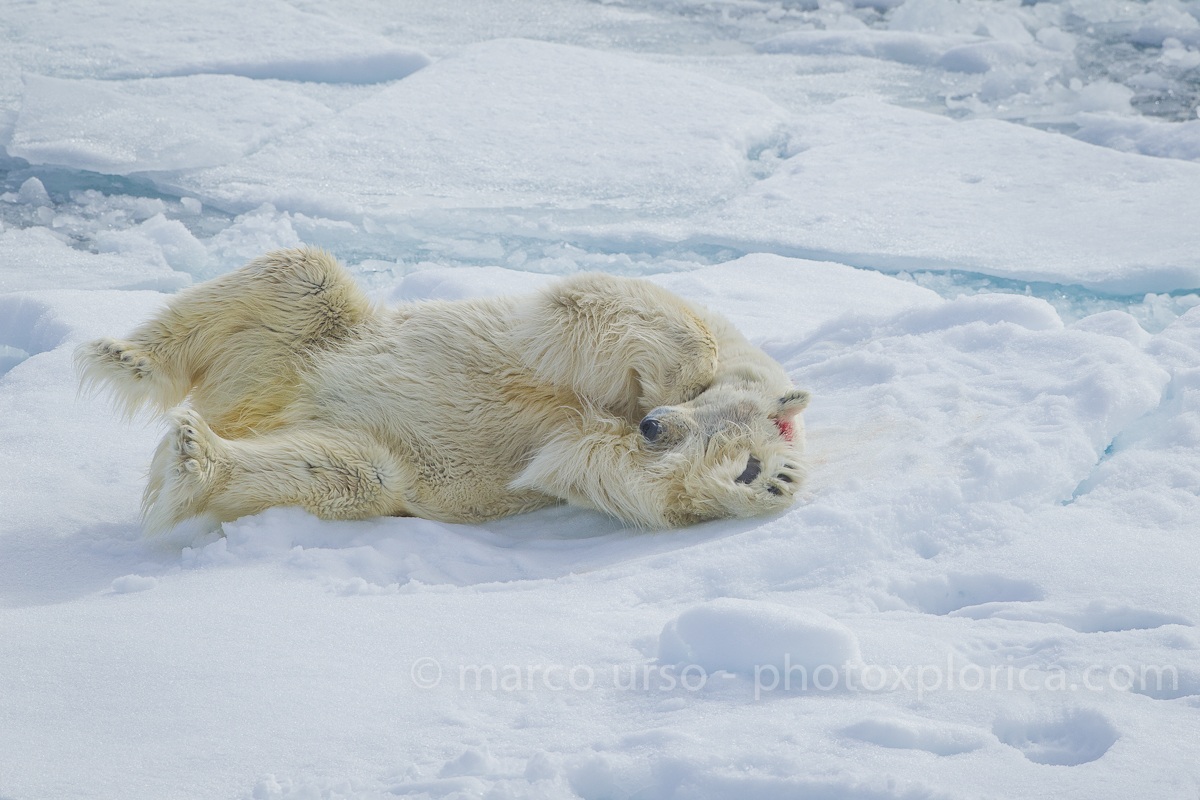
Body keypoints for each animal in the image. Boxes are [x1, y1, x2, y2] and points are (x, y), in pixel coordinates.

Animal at [77, 247, 810, 532]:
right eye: (706, 419)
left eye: (743, 462)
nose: (655, 426)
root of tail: (259, 408)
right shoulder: (670, 333)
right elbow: (620, 307)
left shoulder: (577, 453)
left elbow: (605, 472)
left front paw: (772, 484)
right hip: (315, 339)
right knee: (301, 276)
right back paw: (125, 357)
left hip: (368, 444)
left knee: (348, 472)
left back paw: (196, 456)